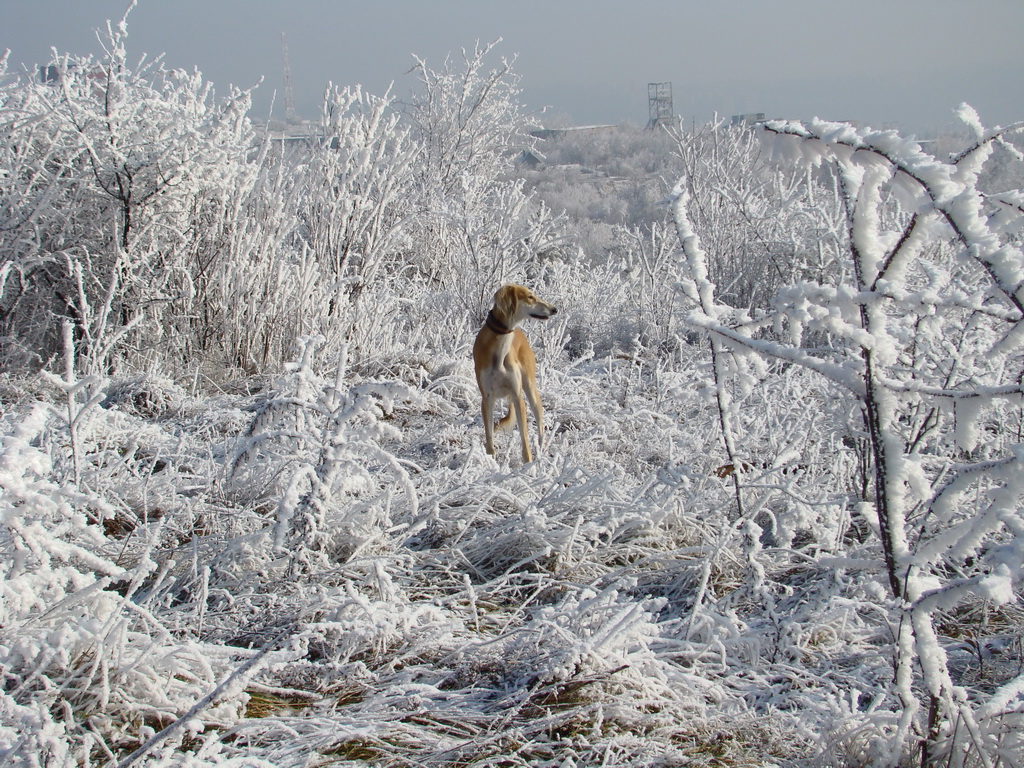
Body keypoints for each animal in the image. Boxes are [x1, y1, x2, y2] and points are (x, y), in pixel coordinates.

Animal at [473, 284, 561, 460]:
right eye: (530, 297)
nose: (554, 309)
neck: (499, 348)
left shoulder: (517, 395)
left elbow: (524, 437)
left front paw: (529, 464)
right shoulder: (487, 398)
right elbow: (489, 434)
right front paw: (491, 459)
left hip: (530, 390)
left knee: (539, 422)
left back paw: (540, 451)